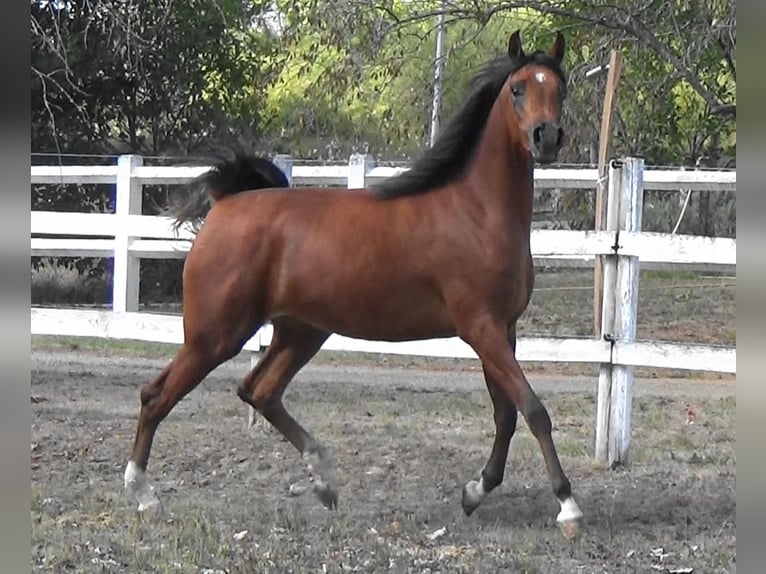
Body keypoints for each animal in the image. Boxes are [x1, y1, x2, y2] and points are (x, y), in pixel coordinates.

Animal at [124, 29, 584, 540]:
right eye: (518, 89)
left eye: (560, 89)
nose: (547, 137)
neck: (477, 212)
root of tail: (226, 202)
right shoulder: (480, 328)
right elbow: (533, 410)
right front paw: (567, 506)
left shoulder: (503, 330)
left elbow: (506, 415)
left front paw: (474, 493)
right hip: (215, 336)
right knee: (156, 396)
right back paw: (143, 495)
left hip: (301, 332)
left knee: (258, 391)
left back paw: (325, 481)